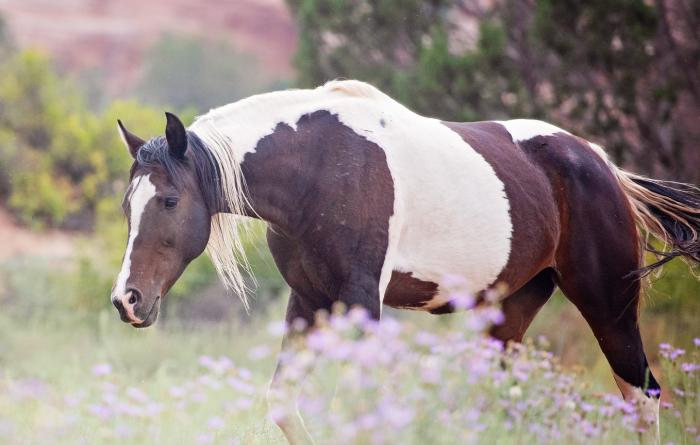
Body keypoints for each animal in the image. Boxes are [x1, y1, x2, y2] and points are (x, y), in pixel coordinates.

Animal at [111, 80, 700, 444]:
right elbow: (284, 401)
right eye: (126, 206)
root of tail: (602, 163)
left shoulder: (360, 301)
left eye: (168, 201)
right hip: (511, 311)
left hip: (608, 307)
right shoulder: (310, 302)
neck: (321, 168)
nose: (127, 300)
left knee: (643, 396)